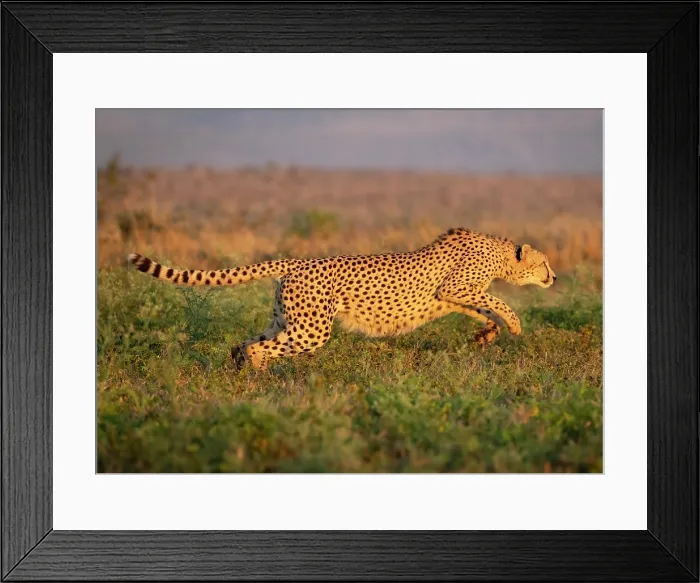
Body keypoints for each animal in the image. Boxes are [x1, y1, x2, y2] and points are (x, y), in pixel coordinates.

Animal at [128, 227, 556, 370]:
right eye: (545, 262)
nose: (554, 277)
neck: (500, 253)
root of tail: (298, 261)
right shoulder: (454, 288)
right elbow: (496, 302)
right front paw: (514, 324)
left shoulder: (452, 297)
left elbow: (481, 308)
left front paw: (488, 334)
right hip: (312, 329)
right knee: (259, 348)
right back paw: (257, 378)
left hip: (287, 319)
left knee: (246, 341)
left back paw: (239, 370)